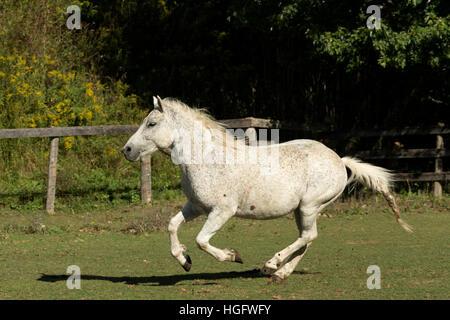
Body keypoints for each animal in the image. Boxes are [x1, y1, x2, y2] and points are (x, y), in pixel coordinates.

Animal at [122, 96, 412, 282]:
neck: (208, 158)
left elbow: (202, 241)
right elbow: (172, 226)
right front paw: (185, 261)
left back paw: (271, 264)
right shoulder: (195, 207)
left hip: (310, 206)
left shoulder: (222, 211)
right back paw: (279, 273)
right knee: (308, 238)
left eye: (151, 124)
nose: (127, 150)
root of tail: (340, 160)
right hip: (303, 210)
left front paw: (233, 256)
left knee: (308, 236)